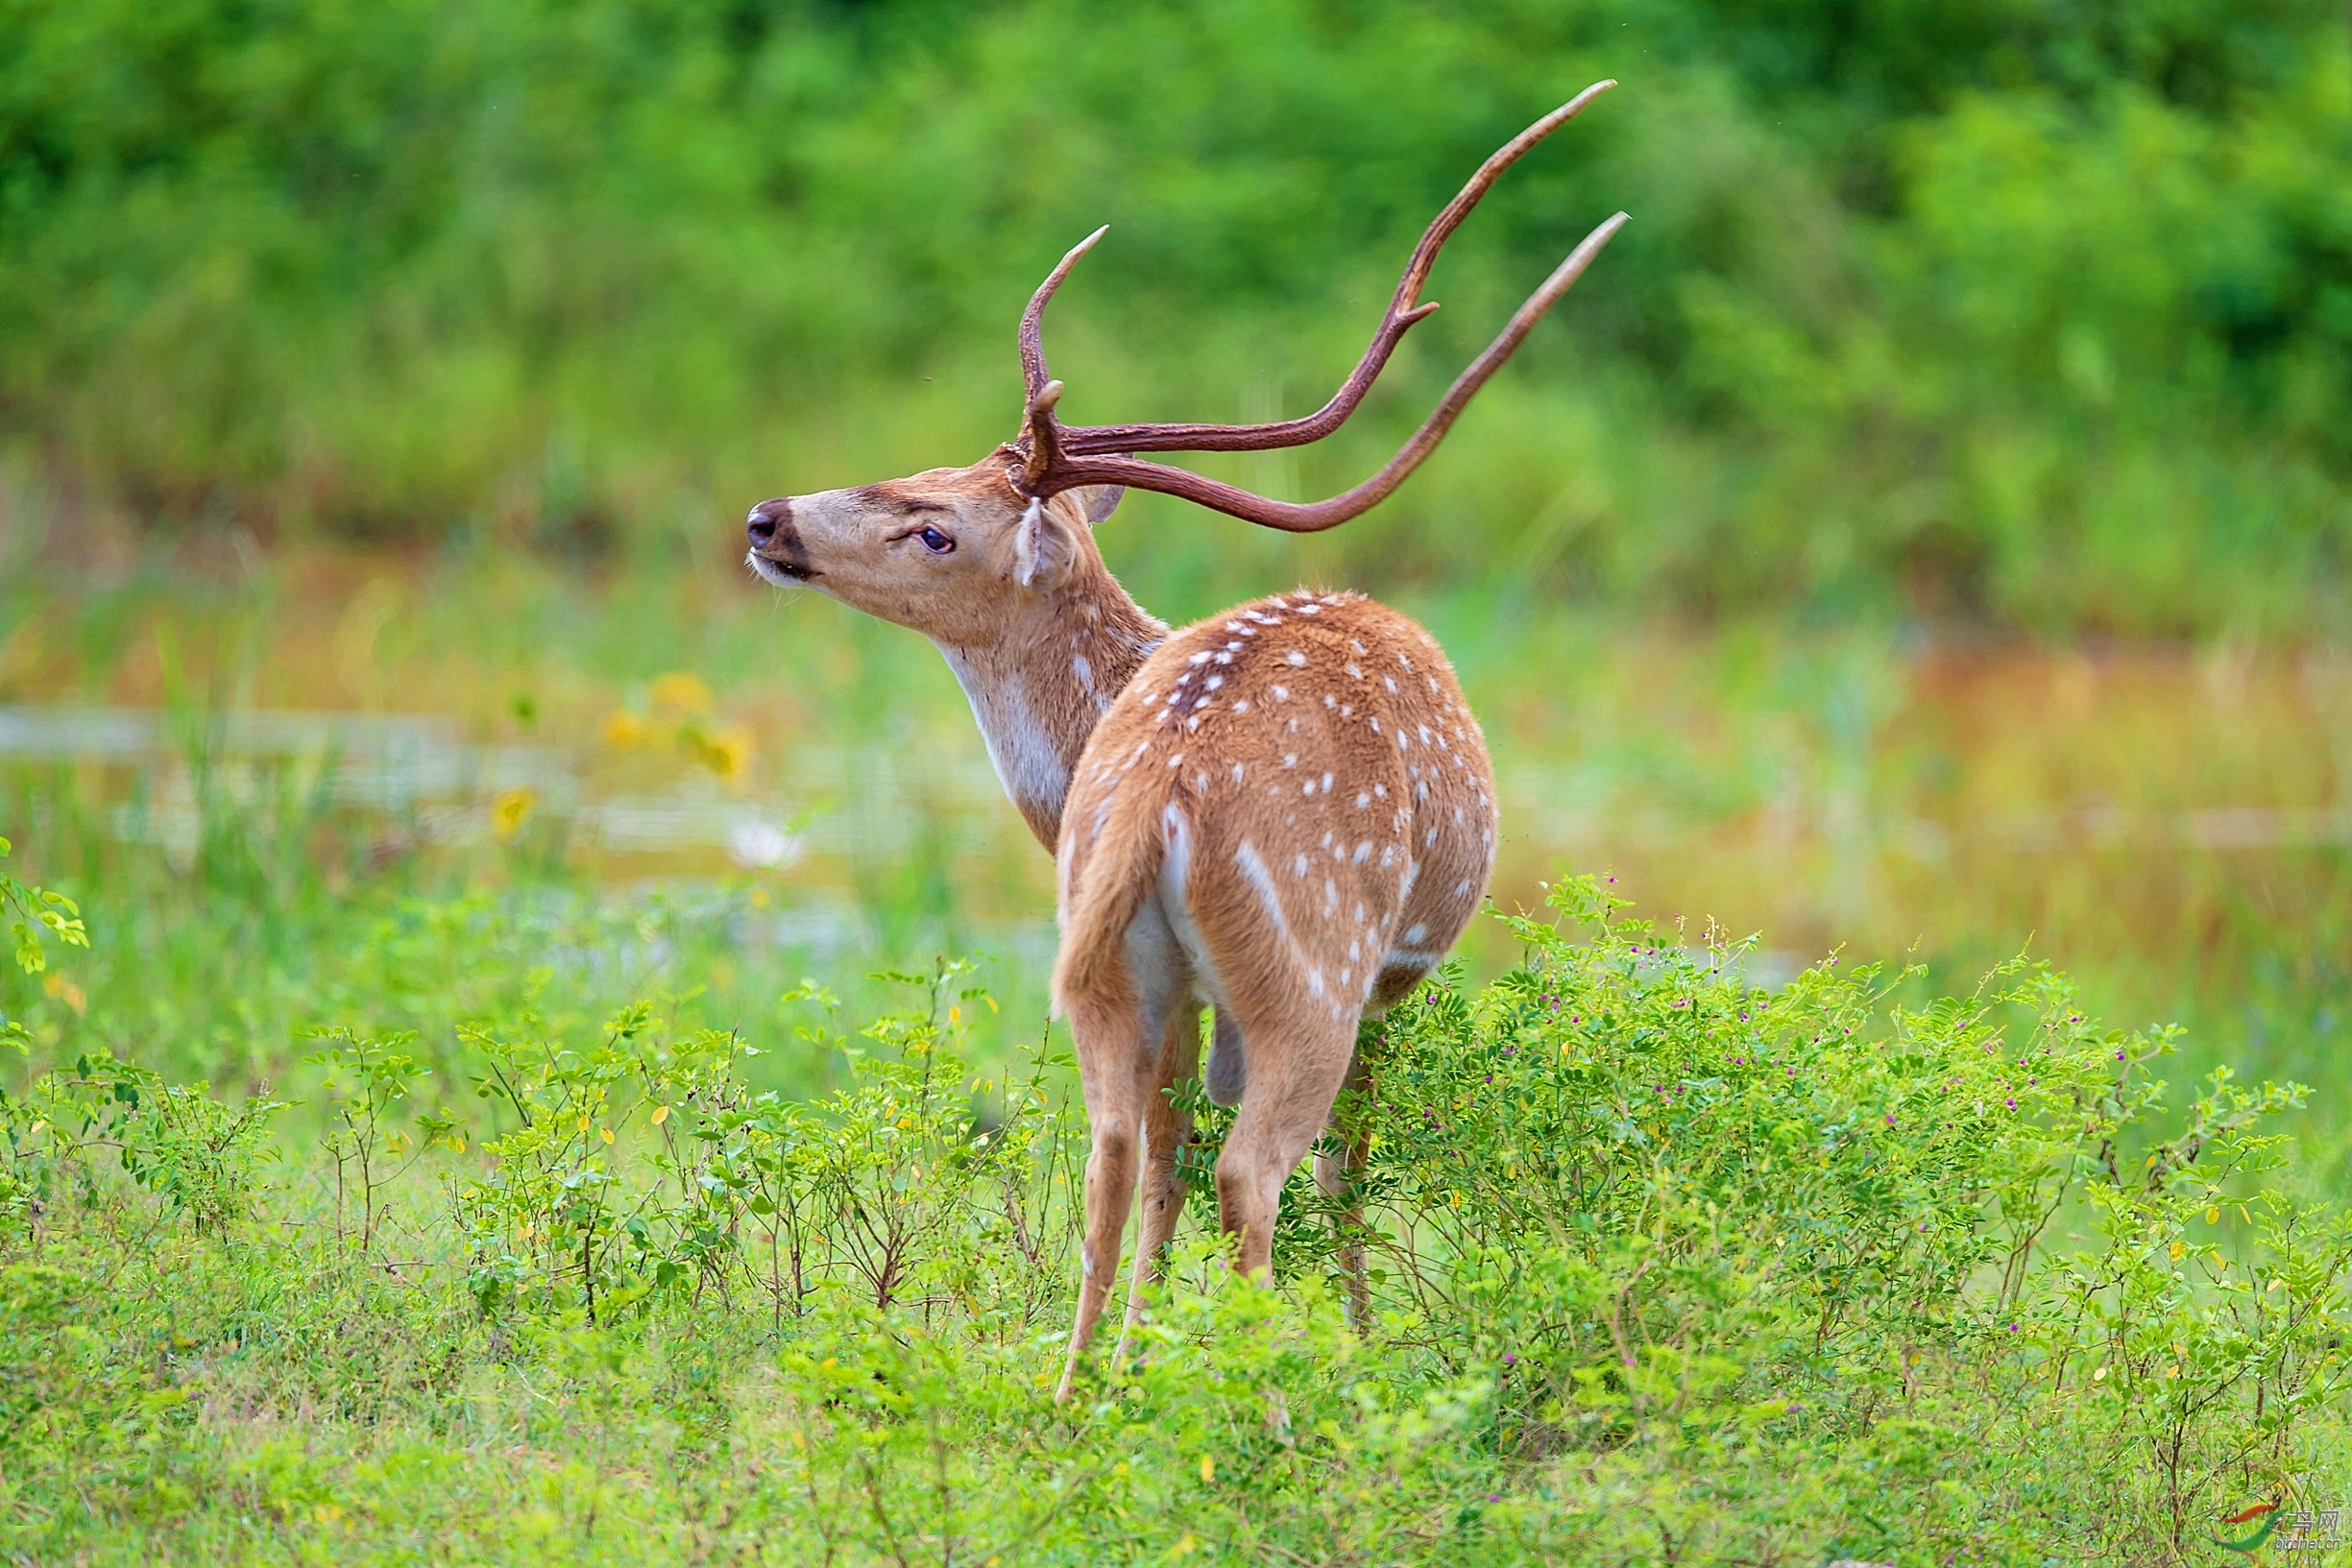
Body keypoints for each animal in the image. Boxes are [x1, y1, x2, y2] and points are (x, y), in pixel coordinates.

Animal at [742, 80, 1627, 1401]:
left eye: (934, 519)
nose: (767, 517)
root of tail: (1160, 778)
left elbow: (1166, 1153)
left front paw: (1145, 1360)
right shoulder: (1397, 972)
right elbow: (1344, 1170)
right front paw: (1353, 1350)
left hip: (1117, 968)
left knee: (1120, 1148)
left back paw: (1074, 1391)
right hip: (1314, 968)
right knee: (1255, 1168)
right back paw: (1272, 1400)